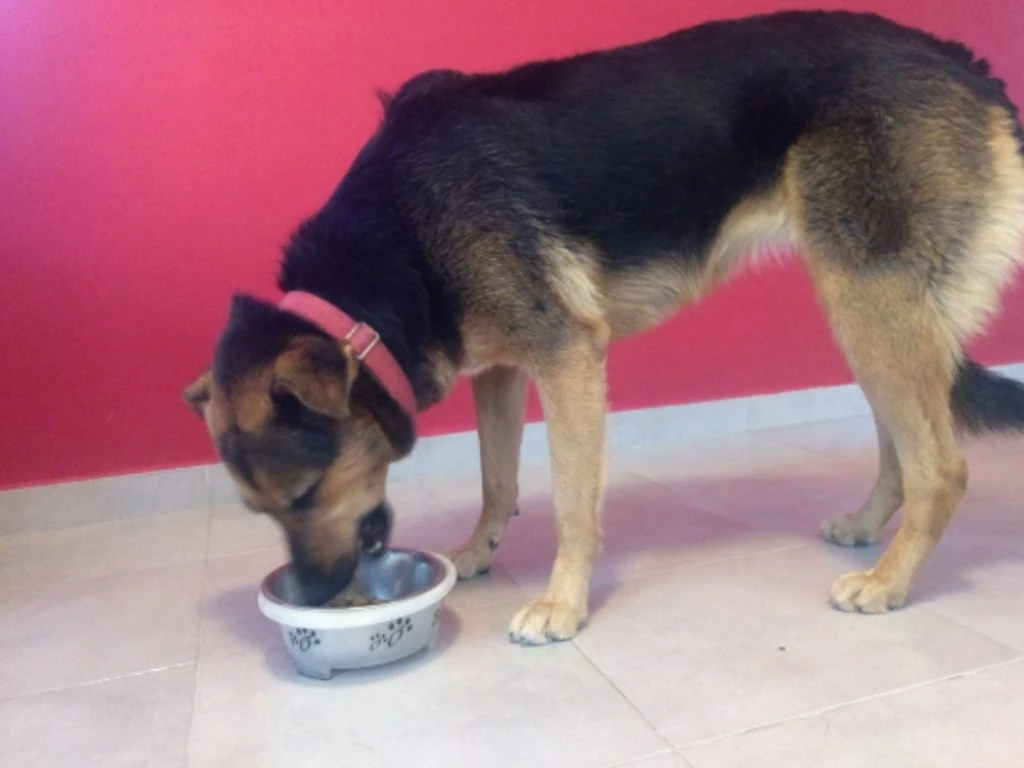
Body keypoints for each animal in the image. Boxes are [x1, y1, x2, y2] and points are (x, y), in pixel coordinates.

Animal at [185, 10, 1024, 644]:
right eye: (262, 511)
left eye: (304, 495)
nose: (316, 595)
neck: (397, 238)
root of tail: (967, 65)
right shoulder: (501, 370)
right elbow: (497, 478)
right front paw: (480, 552)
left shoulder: (568, 361)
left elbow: (570, 502)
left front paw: (561, 604)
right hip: (864, 311)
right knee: (903, 447)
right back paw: (868, 528)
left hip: (869, 302)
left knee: (941, 465)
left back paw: (889, 582)